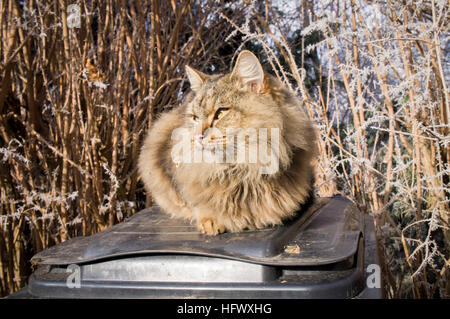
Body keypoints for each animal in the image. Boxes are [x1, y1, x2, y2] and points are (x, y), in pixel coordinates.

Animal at [137, 50, 316, 235]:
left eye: (221, 113)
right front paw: (210, 221)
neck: (243, 172)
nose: (198, 137)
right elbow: (195, 203)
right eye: (195, 118)